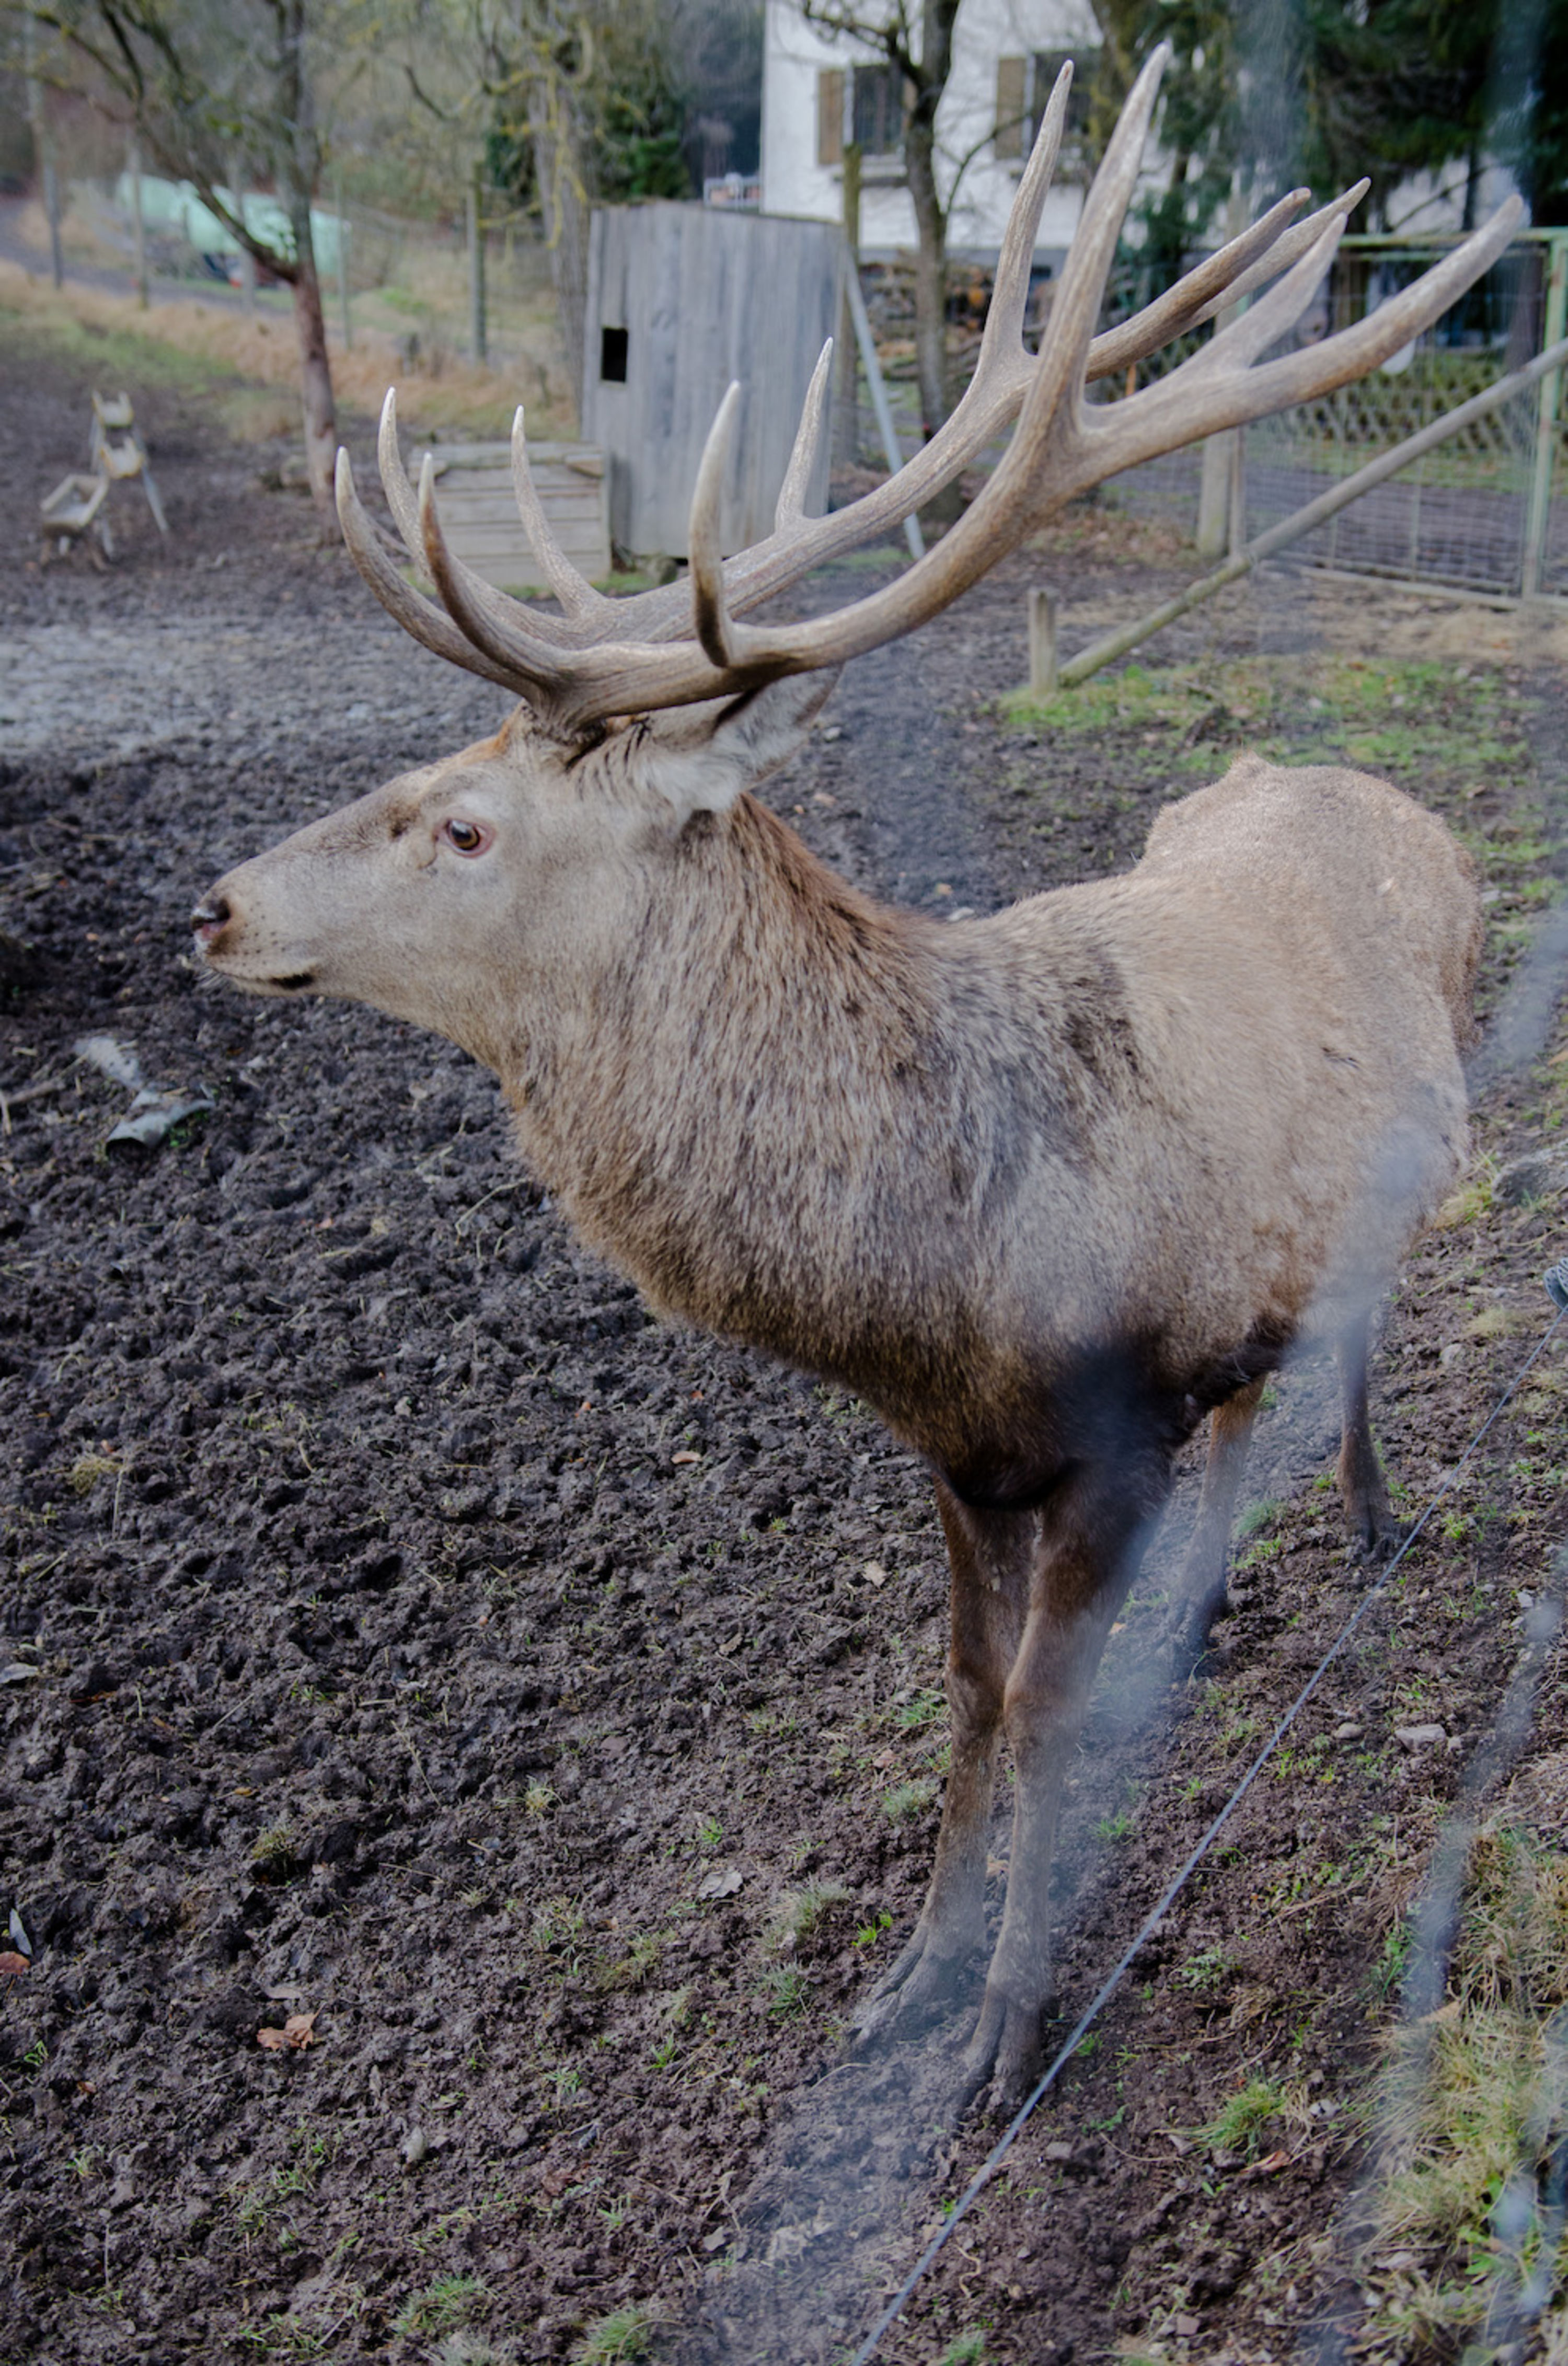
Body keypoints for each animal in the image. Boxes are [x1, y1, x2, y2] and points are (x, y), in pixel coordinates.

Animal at [192, 50, 1514, 2110]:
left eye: (468, 827)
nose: (219, 903)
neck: (929, 1300)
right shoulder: (960, 1458)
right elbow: (968, 1696)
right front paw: (906, 1982)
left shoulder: (1106, 1424)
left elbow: (1043, 1717)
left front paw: (1004, 2036)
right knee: (1262, 1389)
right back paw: (1219, 1606)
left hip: (1416, 1155)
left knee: (1354, 1337)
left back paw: (1370, 1535)